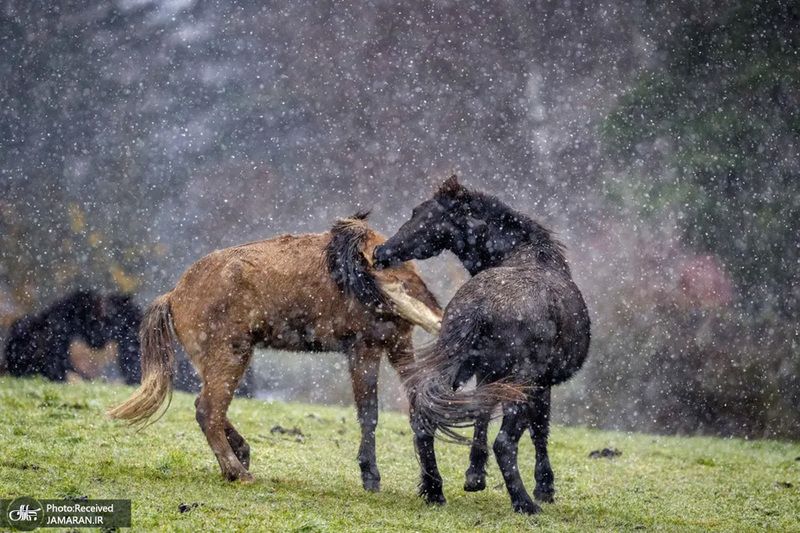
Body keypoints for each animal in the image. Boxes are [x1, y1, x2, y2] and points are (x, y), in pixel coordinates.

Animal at [107, 212, 440, 490]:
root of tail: (173, 294)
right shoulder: (364, 348)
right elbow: (369, 414)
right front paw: (371, 477)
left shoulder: (399, 345)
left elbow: (416, 405)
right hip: (232, 356)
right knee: (208, 410)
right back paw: (238, 472)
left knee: (204, 405)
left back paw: (241, 456)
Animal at [372, 176, 592, 516]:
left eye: (422, 213)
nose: (380, 252)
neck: (525, 252)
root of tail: (478, 305)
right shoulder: (540, 384)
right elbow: (539, 430)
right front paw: (545, 487)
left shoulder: (485, 374)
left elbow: (480, 416)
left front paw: (474, 476)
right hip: (521, 382)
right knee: (505, 442)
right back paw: (525, 503)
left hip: (456, 370)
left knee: (424, 421)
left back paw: (434, 490)